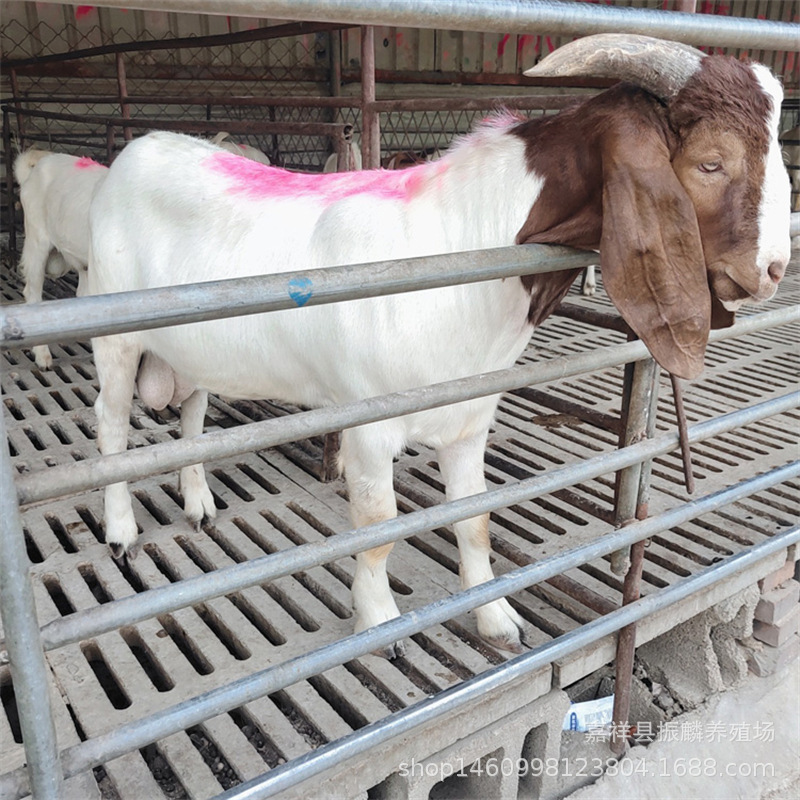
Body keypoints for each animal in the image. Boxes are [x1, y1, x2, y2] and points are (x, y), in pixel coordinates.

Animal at [88, 34, 790, 657]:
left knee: (193, 414)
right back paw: (121, 531)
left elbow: (476, 521)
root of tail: (143, 147)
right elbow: (377, 530)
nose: (775, 269)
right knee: (113, 427)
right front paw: (378, 625)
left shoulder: (469, 419)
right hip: (114, 333)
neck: (460, 248)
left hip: (190, 347)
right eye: (710, 162)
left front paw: (497, 619)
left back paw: (199, 505)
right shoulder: (369, 426)